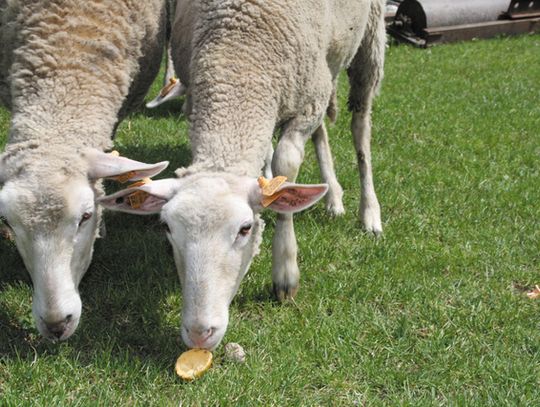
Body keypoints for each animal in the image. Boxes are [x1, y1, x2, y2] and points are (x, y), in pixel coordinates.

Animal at [101, 0, 386, 350]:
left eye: (245, 229)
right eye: (166, 227)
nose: (199, 333)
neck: (239, 57)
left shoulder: (306, 103)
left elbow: (285, 167)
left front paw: (285, 273)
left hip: (369, 41)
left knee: (361, 128)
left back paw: (369, 213)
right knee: (322, 131)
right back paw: (332, 194)